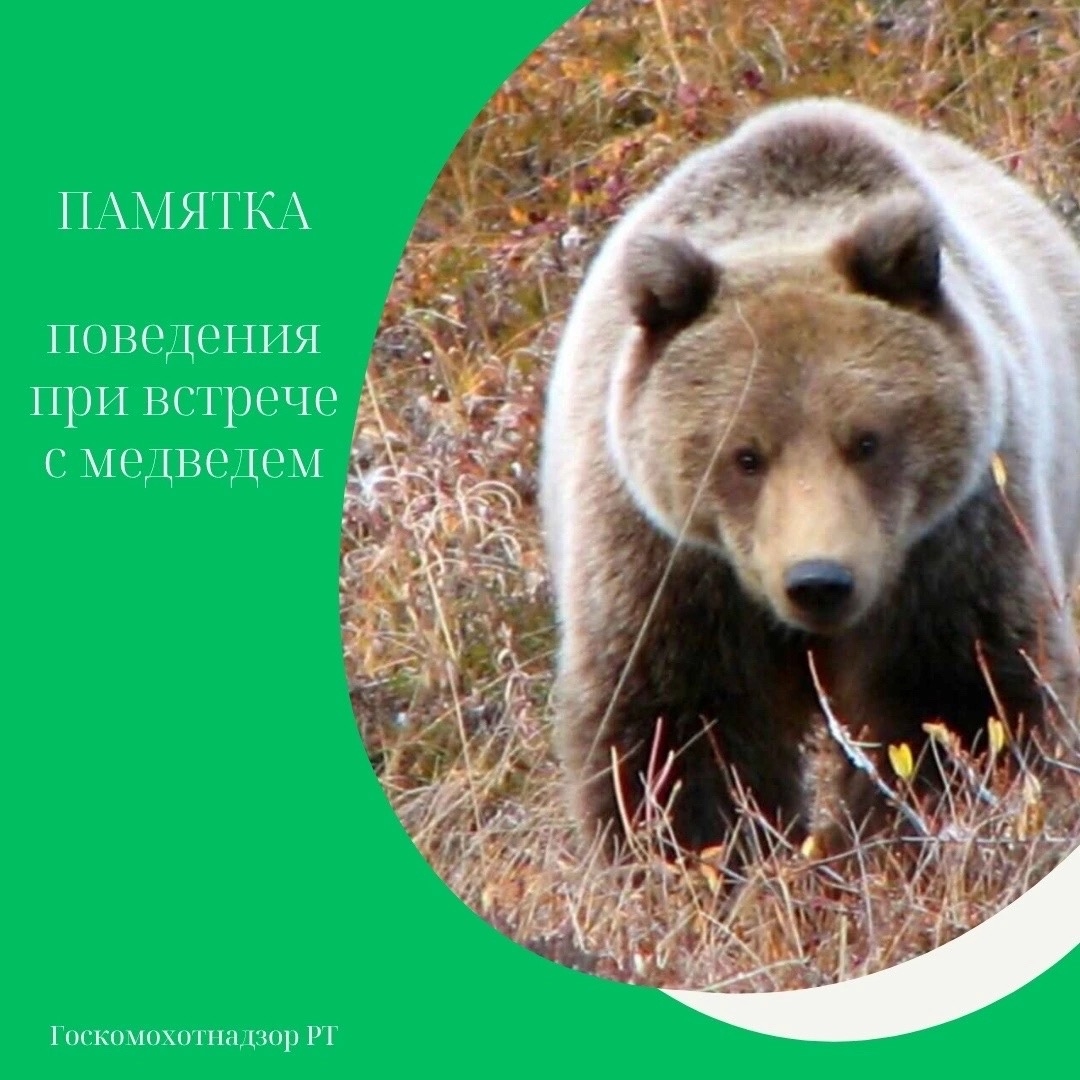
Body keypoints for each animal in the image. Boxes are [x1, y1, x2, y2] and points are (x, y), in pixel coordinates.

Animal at [539, 98, 1080, 864]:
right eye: (744, 455)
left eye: (868, 440)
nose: (819, 580)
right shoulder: (670, 565)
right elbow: (678, 733)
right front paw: (698, 856)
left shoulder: (952, 545)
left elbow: (959, 703)